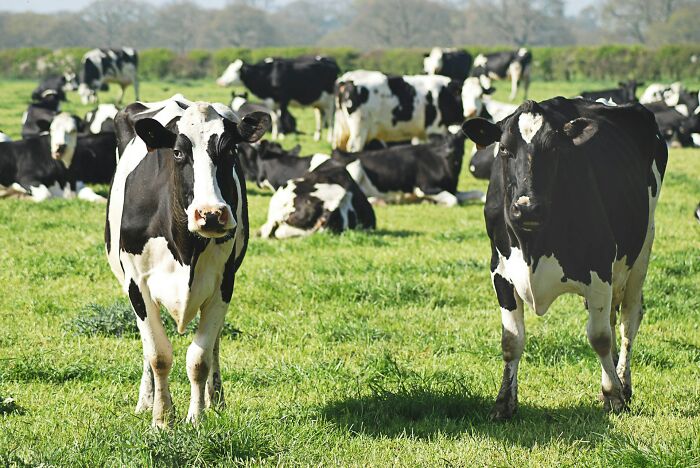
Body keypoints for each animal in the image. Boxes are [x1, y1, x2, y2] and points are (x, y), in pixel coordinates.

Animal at [105, 97, 270, 427]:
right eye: (179, 152)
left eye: (230, 150)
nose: (211, 214)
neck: (185, 249)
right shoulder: (136, 285)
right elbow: (158, 354)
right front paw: (161, 419)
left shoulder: (223, 284)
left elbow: (199, 358)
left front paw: (196, 417)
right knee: (147, 349)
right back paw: (146, 400)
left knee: (215, 342)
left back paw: (216, 398)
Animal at [331, 131, 482, 206]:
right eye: (442, 141)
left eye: (459, 140)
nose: (449, 151)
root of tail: (341, 152)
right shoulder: (425, 187)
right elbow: (453, 200)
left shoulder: (453, 189)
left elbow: (478, 193)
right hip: (355, 166)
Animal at [333, 70, 464, 152]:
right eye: (465, 94)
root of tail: (347, 79)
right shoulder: (435, 128)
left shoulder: (419, 134)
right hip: (360, 128)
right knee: (353, 148)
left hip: (342, 129)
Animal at [461, 97, 667, 419]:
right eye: (504, 148)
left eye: (554, 148)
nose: (527, 207)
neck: (532, 245)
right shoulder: (500, 272)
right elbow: (511, 340)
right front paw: (504, 402)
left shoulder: (599, 268)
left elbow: (599, 337)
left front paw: (613, 395)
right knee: (612, 319)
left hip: (642, 248)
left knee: (628, 321)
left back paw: (624, 383)